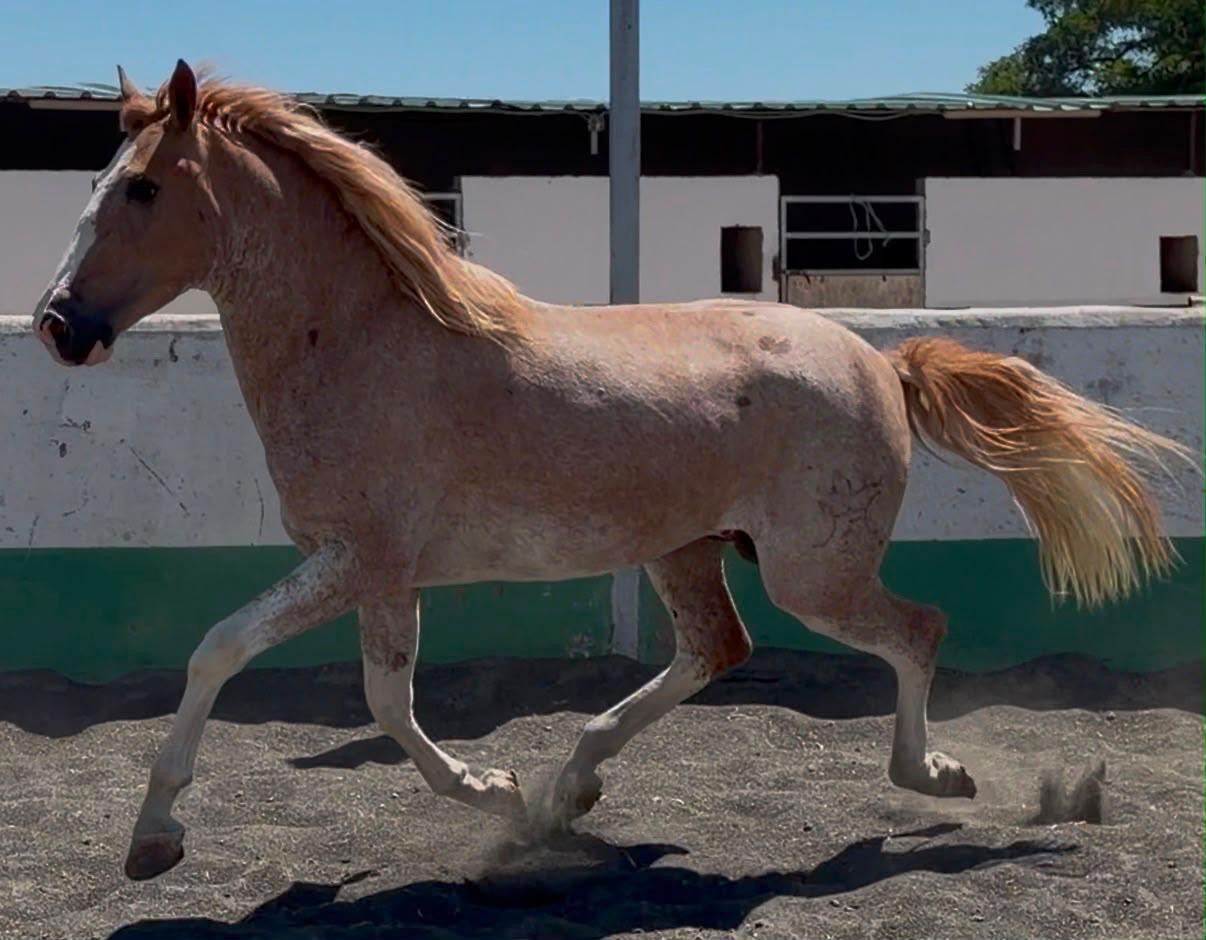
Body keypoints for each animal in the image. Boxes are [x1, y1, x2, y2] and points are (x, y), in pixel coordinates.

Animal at [31, 60, 1187, 881]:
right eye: (93, 185)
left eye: (141, 188)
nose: (57, 327)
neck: (359, 343)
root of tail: (880, 360)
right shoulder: (379, 574)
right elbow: (386, 699)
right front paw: (504, 791)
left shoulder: (363, 559)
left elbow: (228, 653)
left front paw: (155, 835)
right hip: (688, 549)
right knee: (719, 648)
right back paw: (571, 786)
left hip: (813, 569)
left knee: (916, 630)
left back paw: (933, 774)